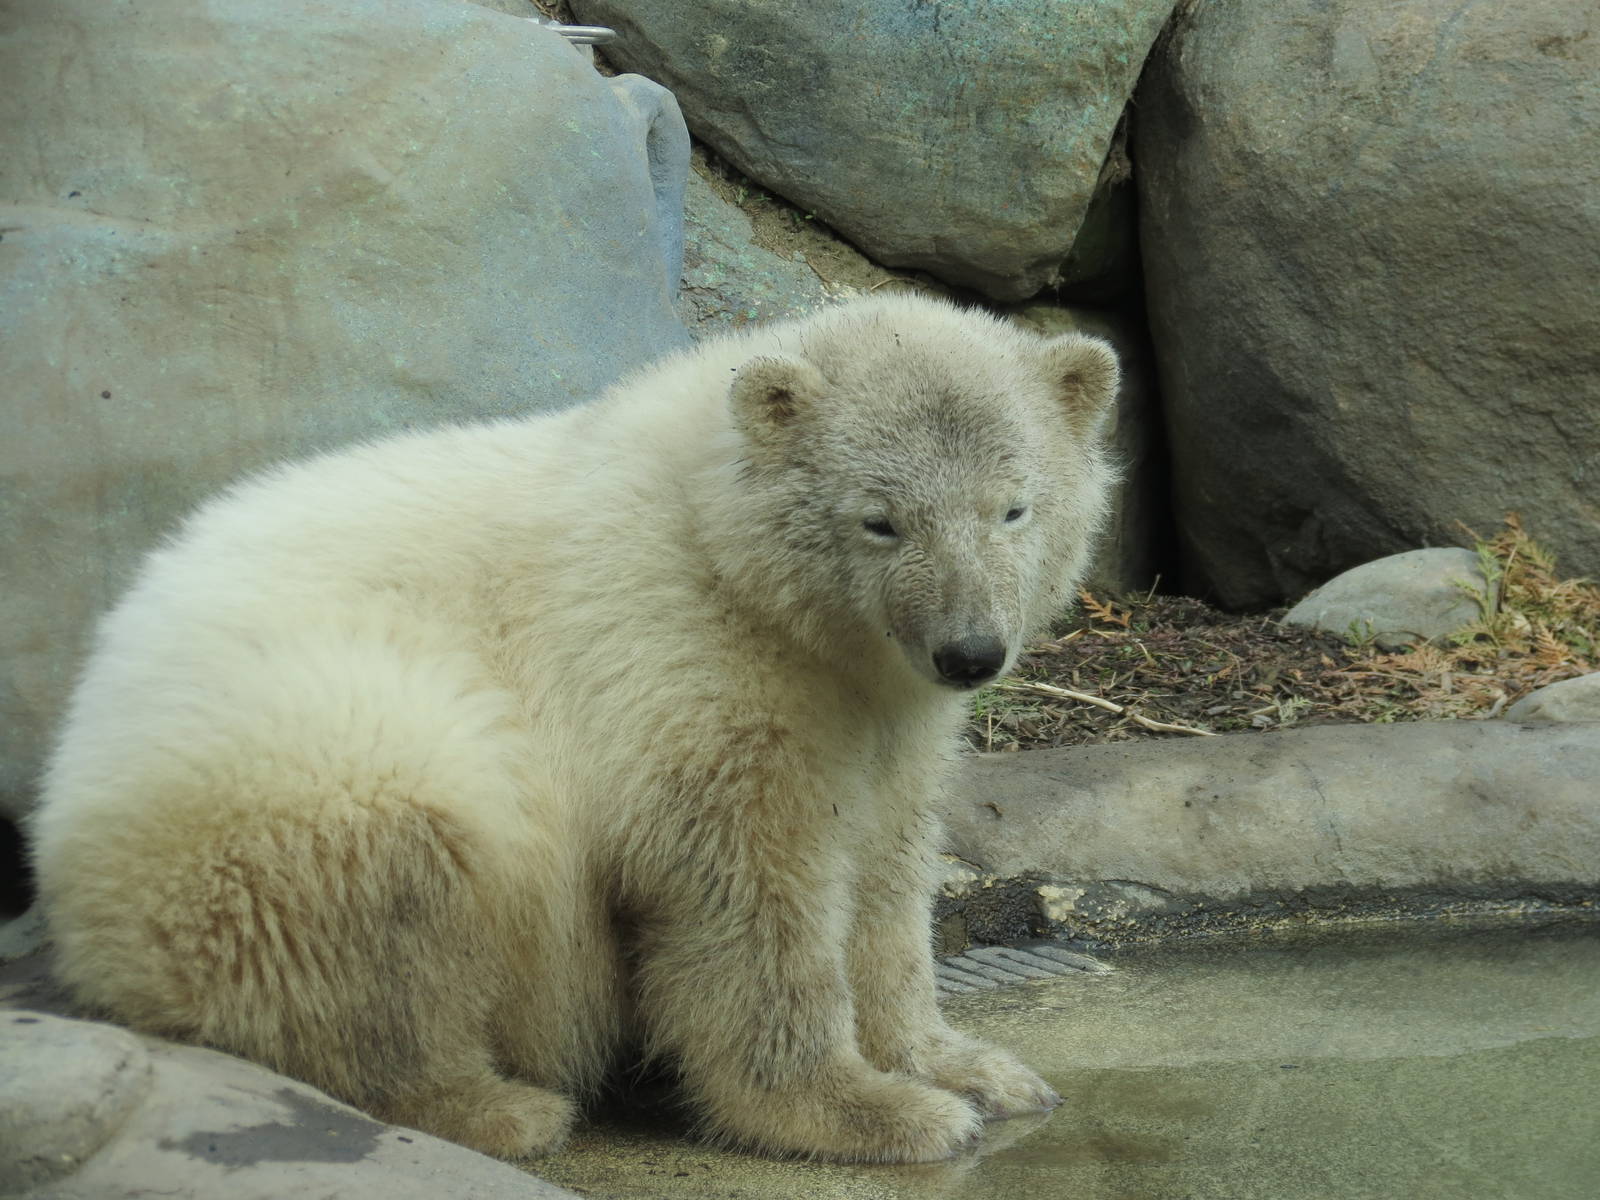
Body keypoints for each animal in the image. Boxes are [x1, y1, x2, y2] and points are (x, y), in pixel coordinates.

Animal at [30, 293, 1120, 1164]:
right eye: (879, 519)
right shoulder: (673, 656)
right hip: (295, 760)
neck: (722, 541)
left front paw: (974, 1070)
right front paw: (872, 1113)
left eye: (1014, 508)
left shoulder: (878, 710)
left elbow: (888, 868)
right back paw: (499, 1108)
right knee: (394, 881)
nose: (969, 651)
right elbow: (741, 890)